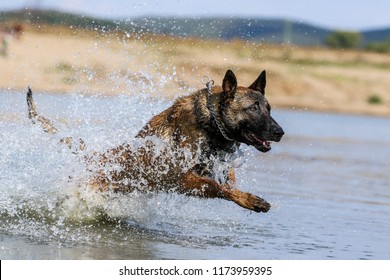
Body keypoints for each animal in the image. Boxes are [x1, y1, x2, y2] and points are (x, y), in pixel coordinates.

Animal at [26, 69, 284, 212]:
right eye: (253, 108)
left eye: (269, 108)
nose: (279, 132)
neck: (212, 122)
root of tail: (94, 157)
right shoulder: (184, 178)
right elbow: (219, 188)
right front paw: (249, 200)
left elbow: (228, 184)